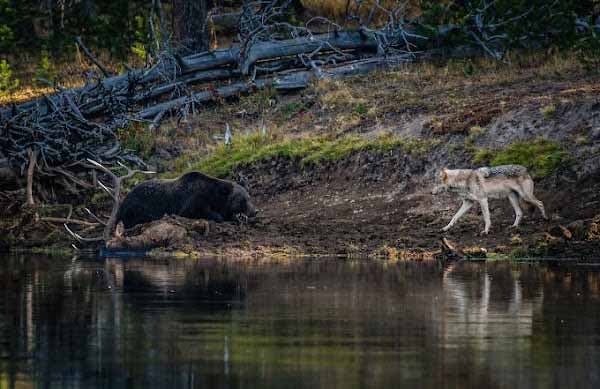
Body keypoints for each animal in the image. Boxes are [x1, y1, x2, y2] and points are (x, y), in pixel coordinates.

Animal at [116, 171, 256, 229]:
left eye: (249, 198)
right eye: (243, 200)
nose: (255, 211)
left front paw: (237, 218)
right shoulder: (193, 199)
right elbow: (195, 210)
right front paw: (218, 216)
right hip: (137, 206)